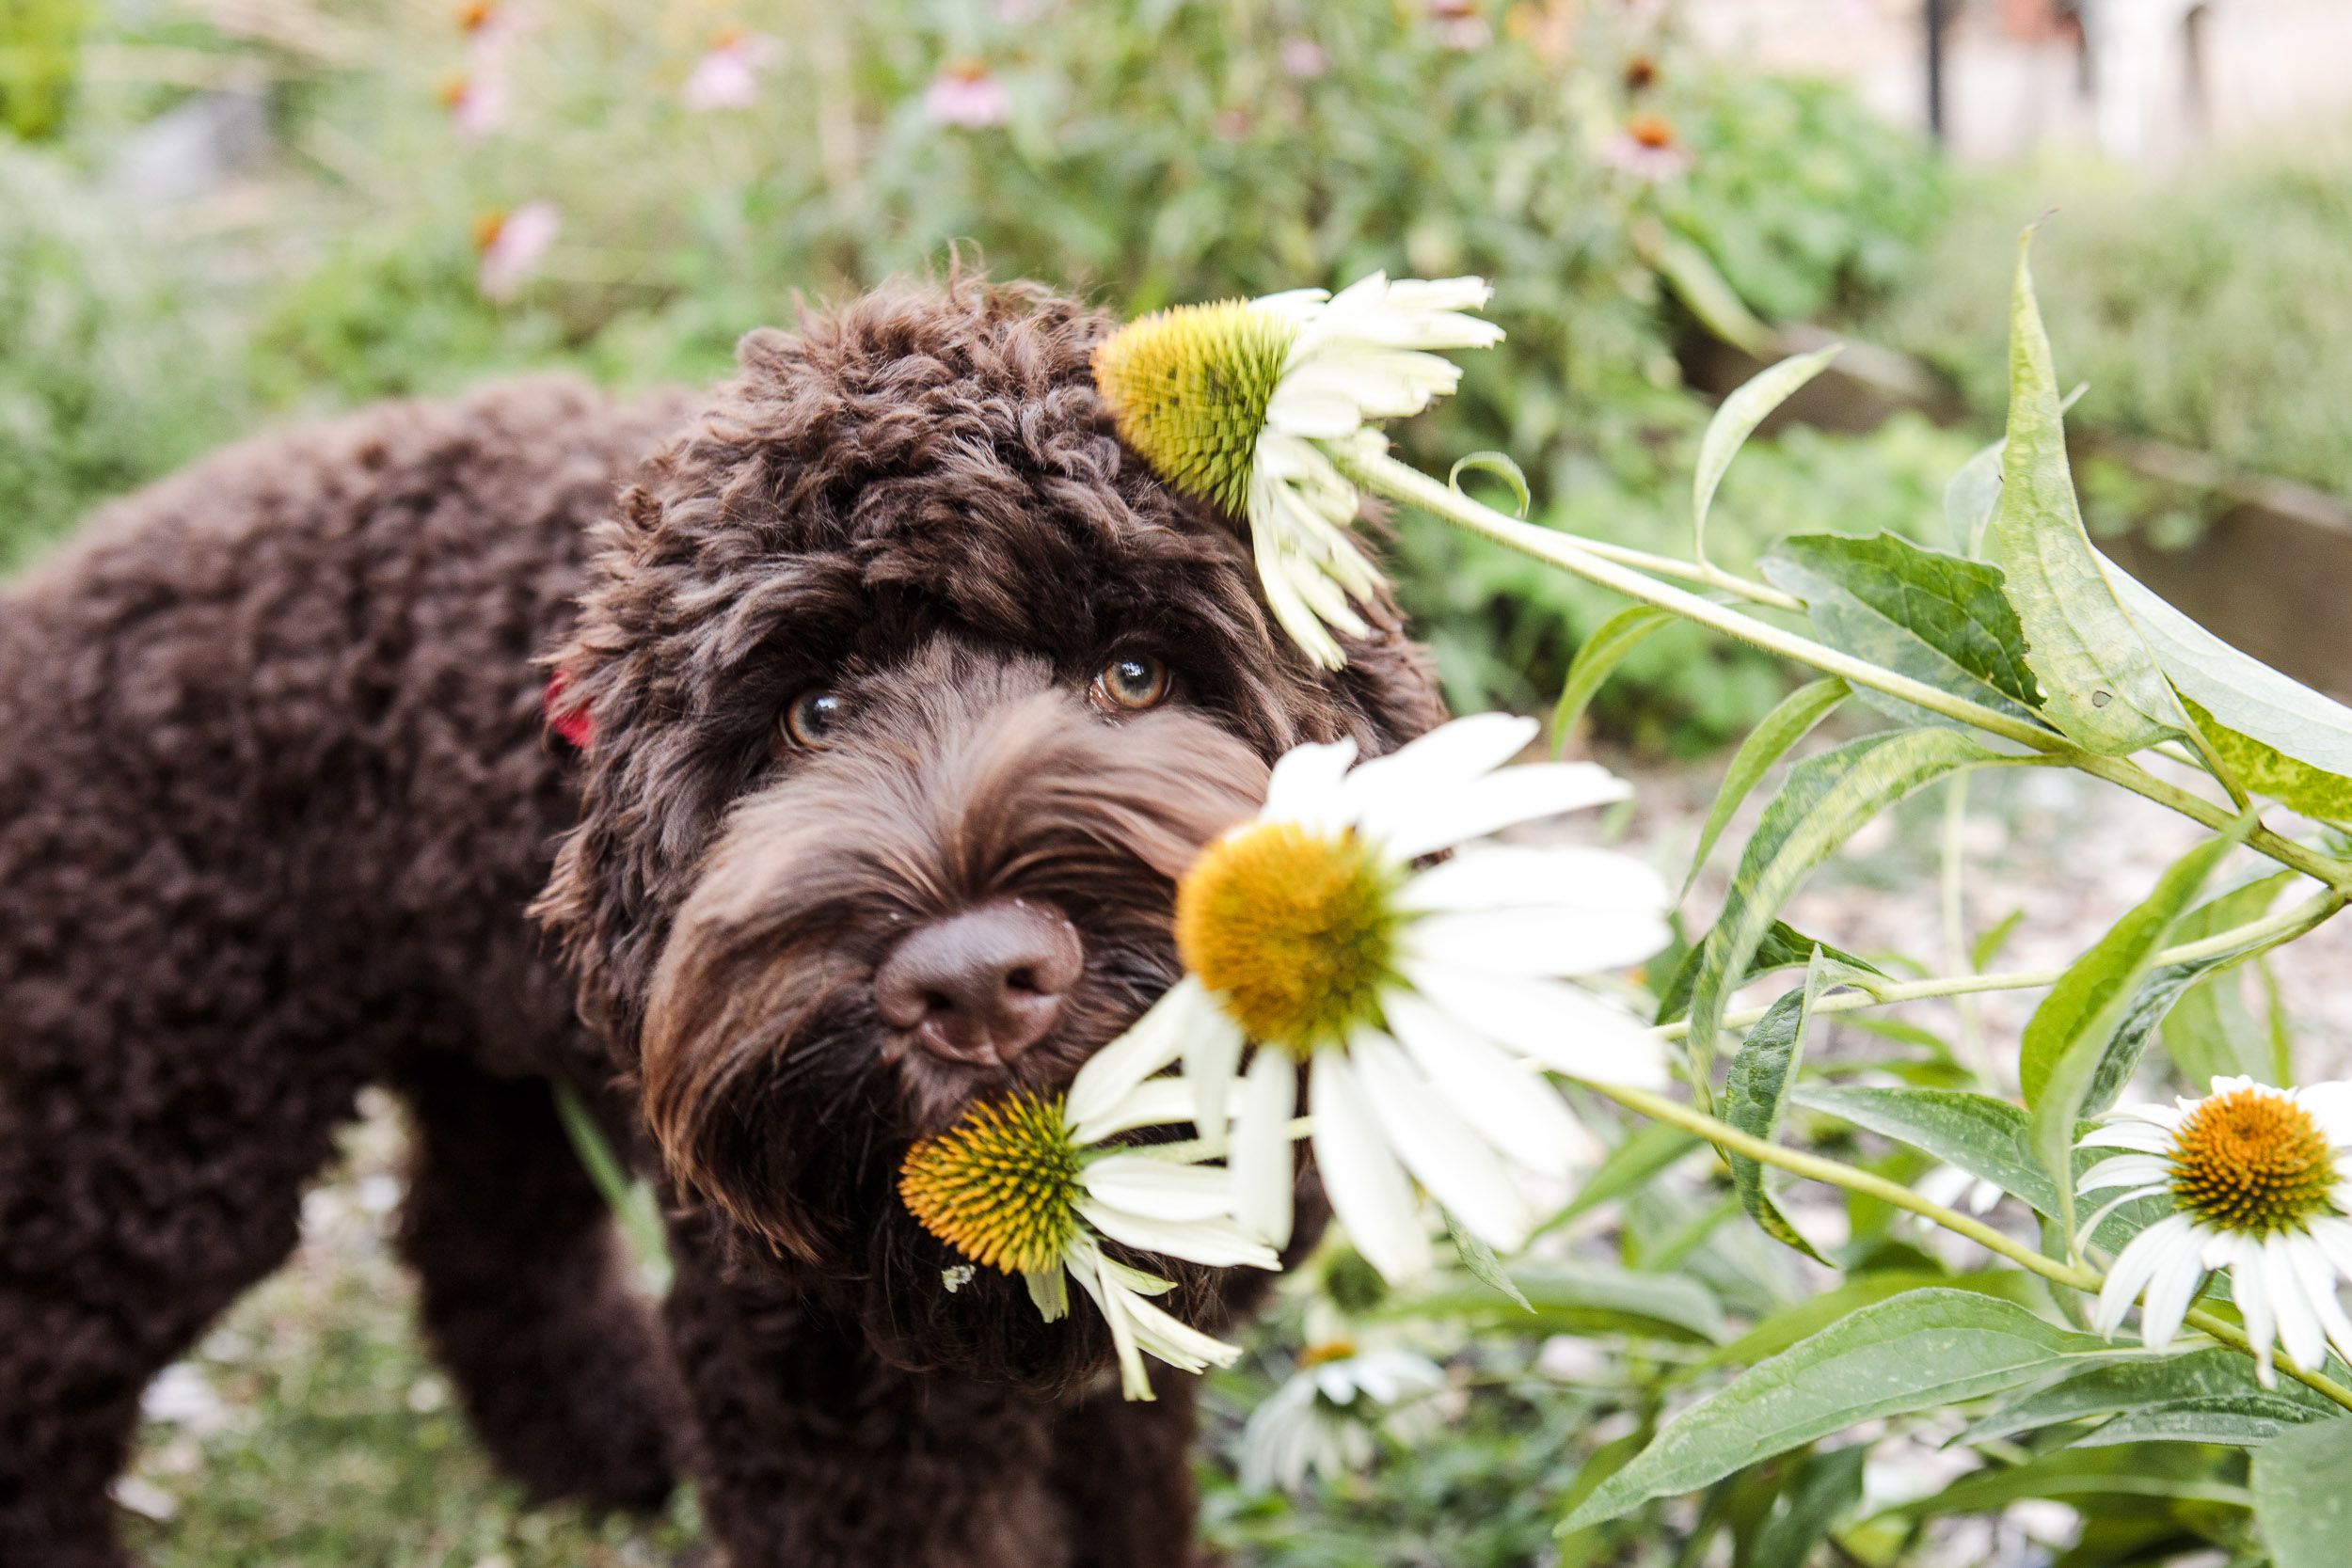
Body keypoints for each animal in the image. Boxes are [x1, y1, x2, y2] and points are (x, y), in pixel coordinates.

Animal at [0, 276, 1439, 1560]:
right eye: (812, 714)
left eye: (1136, 672)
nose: (974, 981)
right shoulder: (819, 1402)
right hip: (147, 1120)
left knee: (479, 1238)